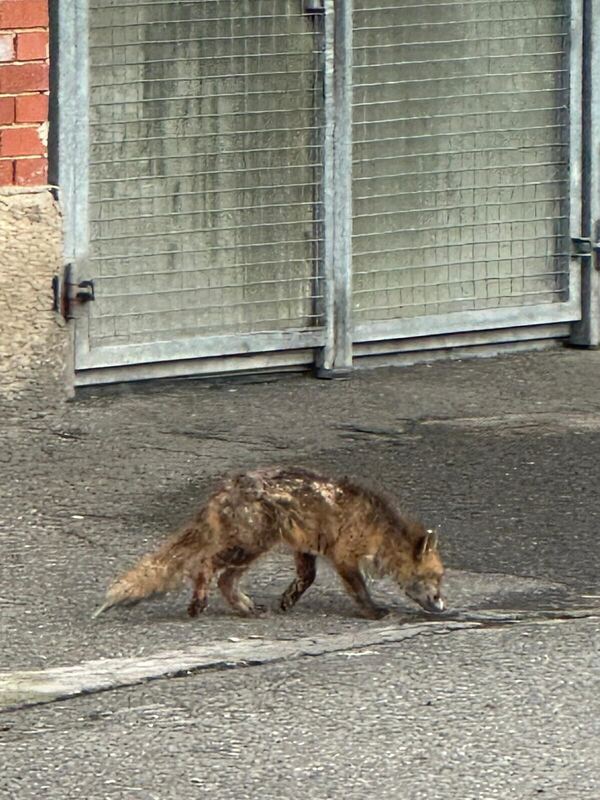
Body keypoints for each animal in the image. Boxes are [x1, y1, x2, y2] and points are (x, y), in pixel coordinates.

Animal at [93, 466, 446, 621]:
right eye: (436, 579)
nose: (443, 606)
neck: (378, 528)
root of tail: (226, 488)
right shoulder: (344, 555)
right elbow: (359, 589)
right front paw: (373, 612)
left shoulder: (307, 547)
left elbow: (306, 579)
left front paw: (287, 601)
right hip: (251, 546)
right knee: (206, 567)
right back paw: (199, 604)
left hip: (253, 547)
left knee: (224, 579)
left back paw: (243, 607)